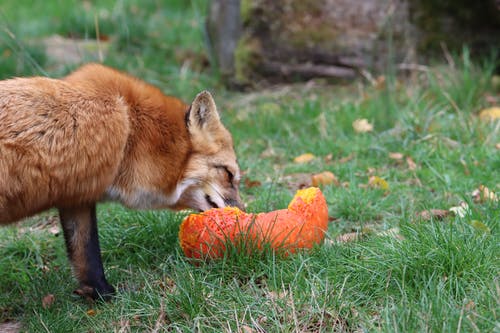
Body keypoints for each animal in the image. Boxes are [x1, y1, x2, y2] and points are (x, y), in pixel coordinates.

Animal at [0, 63, 242, 300]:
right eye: (229, 174)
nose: (243, 215)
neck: (131, 132)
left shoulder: (76, 194)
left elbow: (86, 254)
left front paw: (101, 295)